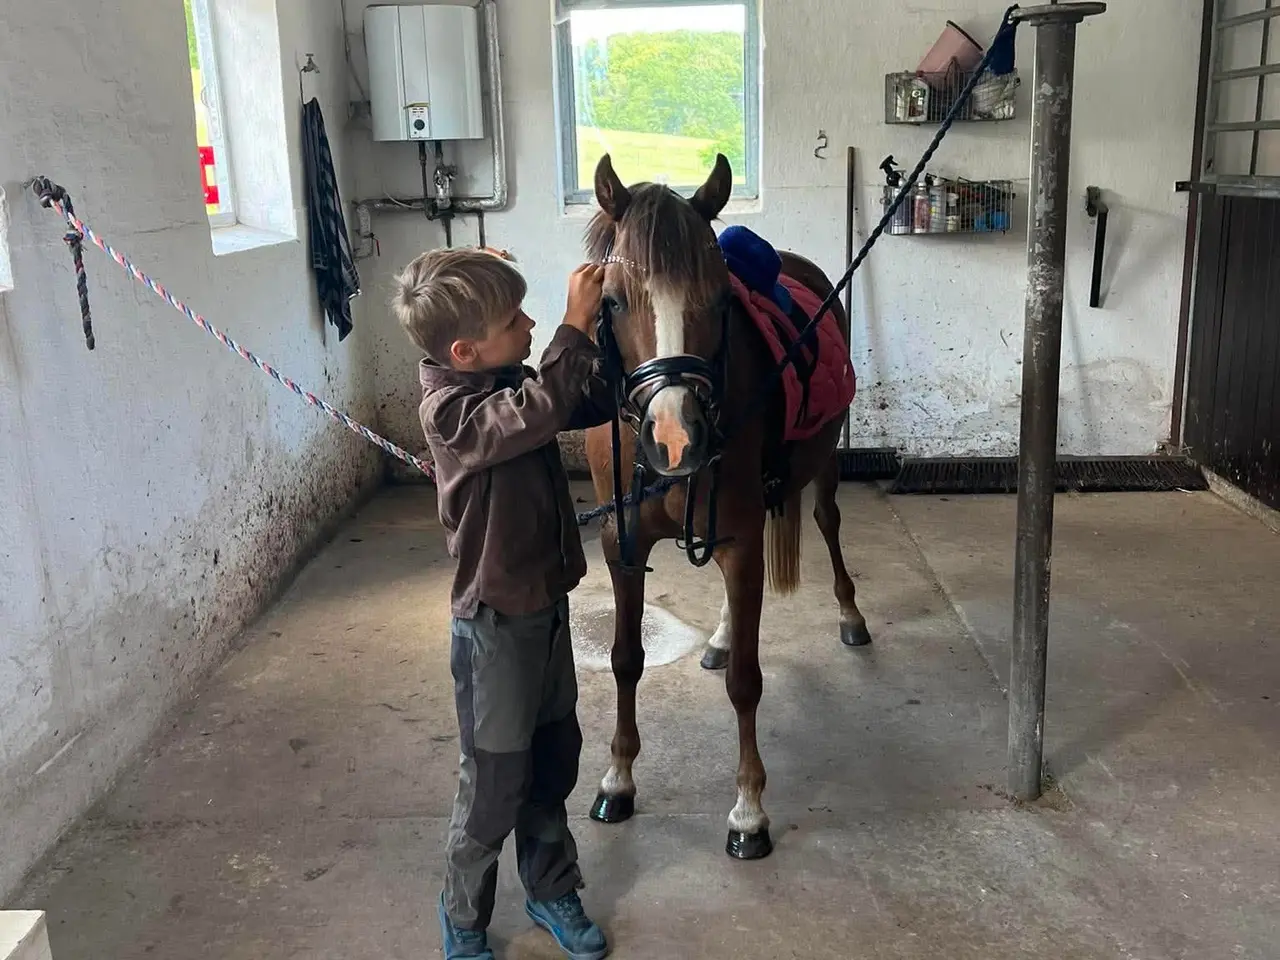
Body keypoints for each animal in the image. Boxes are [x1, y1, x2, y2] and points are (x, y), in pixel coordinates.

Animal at [581, 152, 871, 860]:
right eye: (613, 299)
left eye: (718, 300)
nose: (675, 435)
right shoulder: (621, 545)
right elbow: (625, 660)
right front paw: (617, 778)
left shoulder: (740, 542)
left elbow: (747, 681)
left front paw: (748, 811)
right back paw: (717, 634)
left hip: (822, 465)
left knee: (827, 522)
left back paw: (850, 614)